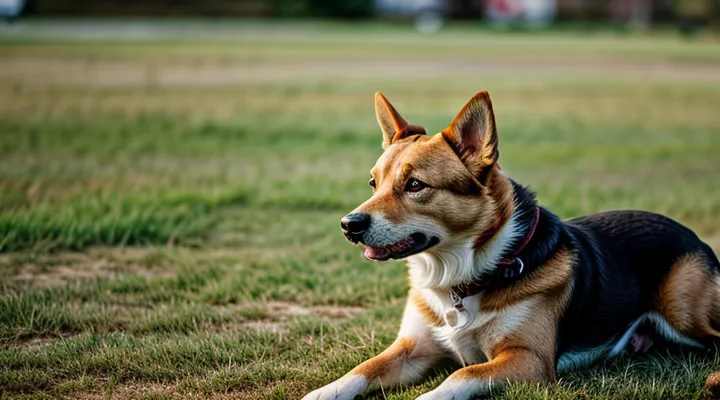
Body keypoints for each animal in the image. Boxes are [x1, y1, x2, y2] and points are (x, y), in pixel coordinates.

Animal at [300, 91, 720, 400]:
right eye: (374, 183)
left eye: (415, 185)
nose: (348, 225)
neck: (463, 273)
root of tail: (694, 235)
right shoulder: (411, 348)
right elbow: (361, 369)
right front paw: (321, 392)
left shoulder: (527, 360)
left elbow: (461, 375)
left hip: (683, 311)